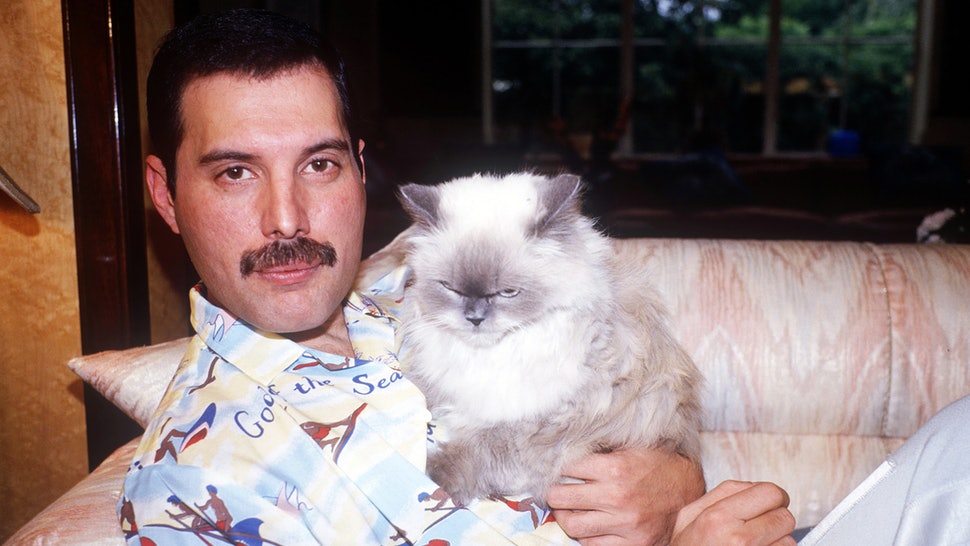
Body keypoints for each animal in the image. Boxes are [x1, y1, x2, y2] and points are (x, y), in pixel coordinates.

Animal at [398, 171, 700, 506]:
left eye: (508, 292)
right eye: (450, 288)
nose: (474, 318)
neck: (494, 354)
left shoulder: (538, 426)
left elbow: (478, 450)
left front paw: (435, 476)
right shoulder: (444, 380)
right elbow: (420, 387)